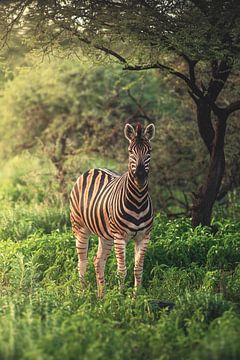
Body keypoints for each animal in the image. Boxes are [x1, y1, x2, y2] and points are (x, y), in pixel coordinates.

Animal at [70, 122, 155, 296]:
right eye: (130, 151)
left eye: (149, 150)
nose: (140, 177)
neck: (138, 201)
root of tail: (92, 169)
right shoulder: (120, 237)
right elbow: (121, 270)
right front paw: (121, 297)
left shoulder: (144, 236)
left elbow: (138, 269)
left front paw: (136, 297)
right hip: (80, 228)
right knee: (82, 262)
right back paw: (82, 294)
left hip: (106, 235)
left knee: (98, 261)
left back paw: (102, 296)